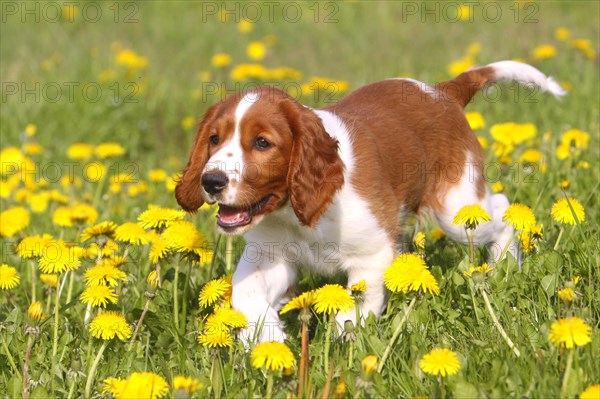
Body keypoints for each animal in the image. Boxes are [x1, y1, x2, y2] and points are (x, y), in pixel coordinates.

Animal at [176, 61, 564, 342]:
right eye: (214, 139)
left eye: (261, 143)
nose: (211, 181)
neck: (296, 213)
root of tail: (442, 92)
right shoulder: (270, 256)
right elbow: (247, 294)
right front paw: (268, 343)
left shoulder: (371, 255)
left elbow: (353, 313)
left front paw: (342, 353)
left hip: (455, 206)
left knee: (499, 208)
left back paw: (503, 262)